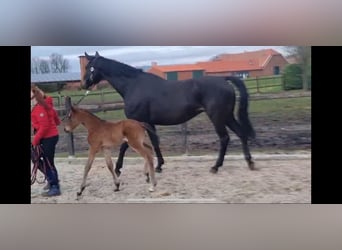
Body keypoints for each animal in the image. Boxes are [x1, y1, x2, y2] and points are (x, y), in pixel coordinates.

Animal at [82, 51, 254, 174]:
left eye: (89, 67)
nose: (84, 84)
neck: (133, 85)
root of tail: (223, 80)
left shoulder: (137, 122)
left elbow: (125, 145)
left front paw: (118, 168)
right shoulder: (149, 123)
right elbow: (155, 142)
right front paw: (159, 166)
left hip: (217, 117)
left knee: (224, 138)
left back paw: (216, 166)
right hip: (227, 116)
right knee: (241, 133)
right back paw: (250, 162)